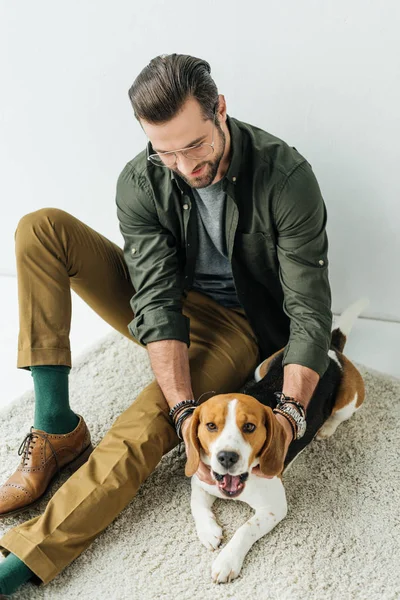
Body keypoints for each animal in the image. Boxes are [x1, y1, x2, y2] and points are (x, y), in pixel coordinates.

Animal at [184, 298, 368, 584]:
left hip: (350, 399)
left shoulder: (273, 508)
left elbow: (245, 529)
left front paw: (227, 561)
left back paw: (326, 428)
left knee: (341, 414)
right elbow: (196, 503)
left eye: (249, 427)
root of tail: (331, 350)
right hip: (262, 367)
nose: (227, 457)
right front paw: (208, 531)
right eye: (211, 426)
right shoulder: (202, 479)